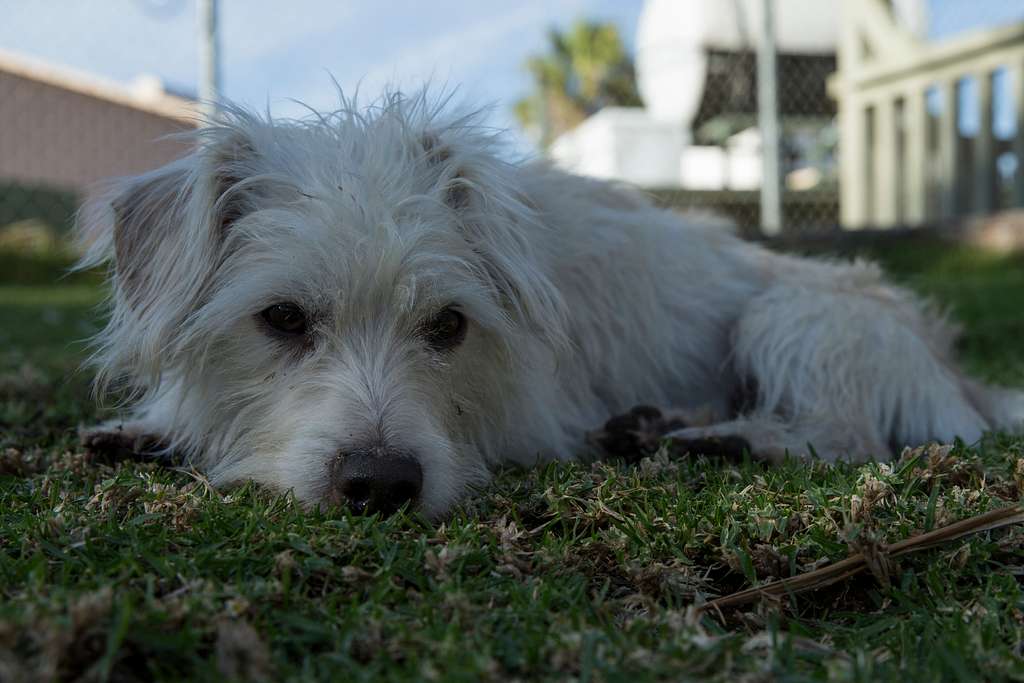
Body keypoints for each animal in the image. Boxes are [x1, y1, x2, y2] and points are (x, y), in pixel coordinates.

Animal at [77, 90, 1024, 518]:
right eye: (282, 319)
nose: (380, 484)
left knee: (844, 434)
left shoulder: (532, 416)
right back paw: (657, 423)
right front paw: (150, 428)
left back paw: (726, 439)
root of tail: (957, 372)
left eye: (448, 325)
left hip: (796, 318)